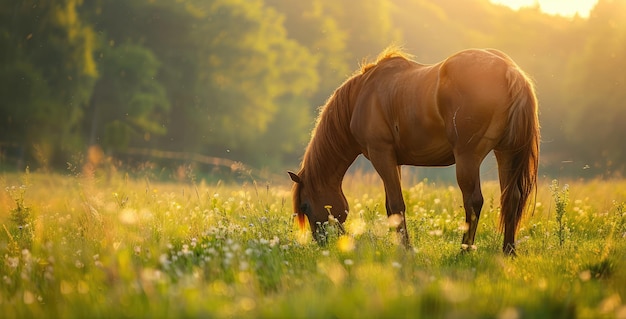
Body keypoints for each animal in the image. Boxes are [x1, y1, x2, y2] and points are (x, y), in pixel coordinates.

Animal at [288, 48, 536, 256]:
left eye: (305, 206)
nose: (321, 243)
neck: (361, 96)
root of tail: (510, 71)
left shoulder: (380, 155)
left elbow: (397, 205)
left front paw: (406, 249)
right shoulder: (393, 161)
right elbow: (391, 207)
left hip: (468, 158)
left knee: (473, 202)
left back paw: (464, 251)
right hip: (506, 154)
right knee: (511, 198)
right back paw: (508, 251)